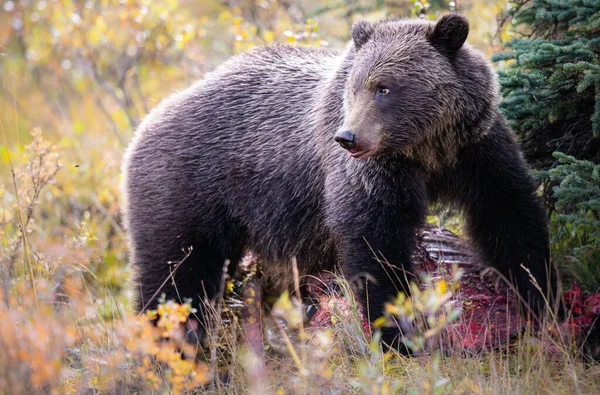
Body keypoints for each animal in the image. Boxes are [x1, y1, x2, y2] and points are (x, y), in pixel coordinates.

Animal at [120, 12, 552, 346]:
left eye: (384, 87)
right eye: (356, 87)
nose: (348, 137)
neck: (426, 151)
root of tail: (146, 122)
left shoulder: (476, 148)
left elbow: (509, 213)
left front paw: (539, 295)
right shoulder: (371, 173)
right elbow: (374, 242)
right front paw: (397, 333)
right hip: (189, 189)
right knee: (175, 278)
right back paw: (173, 347)